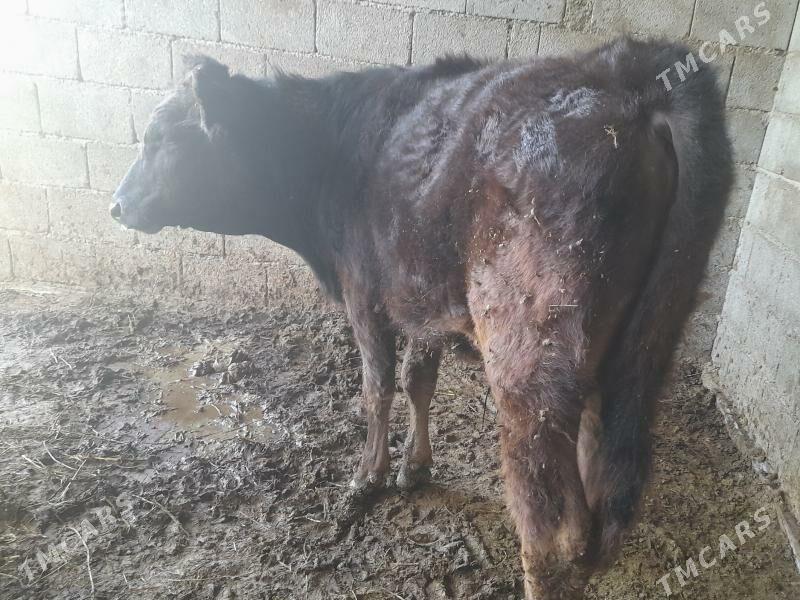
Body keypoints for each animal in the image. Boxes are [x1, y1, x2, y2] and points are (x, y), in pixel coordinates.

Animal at [111, 37, 732, 598]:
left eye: (161, 138)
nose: (116, 205)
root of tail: (628, 73)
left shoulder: (365, 294)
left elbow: (377, 386)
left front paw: (368, 477)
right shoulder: (420, 301)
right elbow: (418, 382)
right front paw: (416, 468)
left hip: (529, 358)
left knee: (554, 531)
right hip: (631, 351)